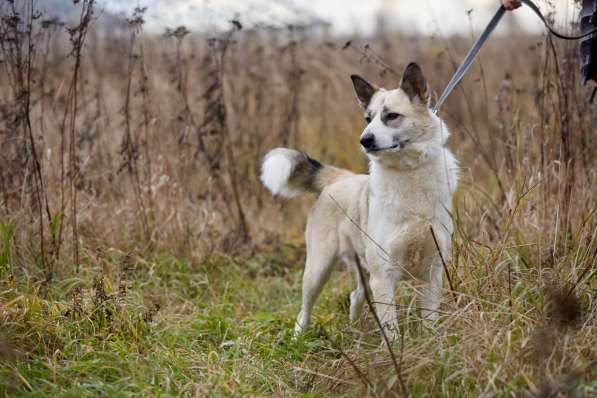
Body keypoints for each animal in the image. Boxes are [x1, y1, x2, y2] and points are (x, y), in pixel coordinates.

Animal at [258, 63, 458, 338]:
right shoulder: (384, 275)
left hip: (363, 269)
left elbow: (430, 321)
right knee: (304, 310)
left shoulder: (432, 272)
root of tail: (340, 178)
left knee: (355, 295)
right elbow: (391, 328)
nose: (364, 140)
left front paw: (432, 344)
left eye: (391, 116)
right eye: (368, 118)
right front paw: (397, 347)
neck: (408, 173)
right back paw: (298, 337)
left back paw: (354, 328)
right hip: (318, 270)